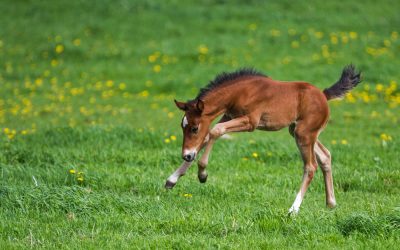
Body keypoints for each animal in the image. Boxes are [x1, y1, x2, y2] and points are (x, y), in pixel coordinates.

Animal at [164, 65, 360, 214]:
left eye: (194, 128)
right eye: (182, 126)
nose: (186, 155)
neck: (240, 92)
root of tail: (324, 95)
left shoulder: (250, 121)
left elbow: (214, 132)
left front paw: (202, 174)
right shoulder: (228, 116)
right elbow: (207, 137)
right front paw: (172, 179)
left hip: (304, 133)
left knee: (311, 167)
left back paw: (293, 210)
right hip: (298, 131)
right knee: (325, 156)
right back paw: (331, 203)